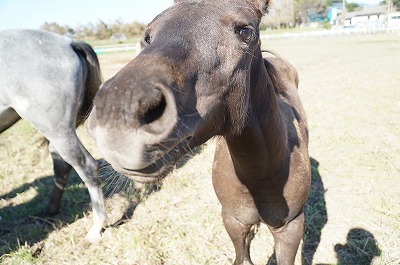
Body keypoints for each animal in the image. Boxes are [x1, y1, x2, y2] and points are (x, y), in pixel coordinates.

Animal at [0, 29, 106, 241]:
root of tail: (68, 42)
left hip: (58, 130)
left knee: (86, 166)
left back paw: (96, 228)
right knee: (62, 163)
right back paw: (50, 210)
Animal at [88, 0, 310, 262]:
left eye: (245, 31)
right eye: (148, 36)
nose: (115, 114)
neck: (261, 175)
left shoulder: (291, 228)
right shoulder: (233, 221)